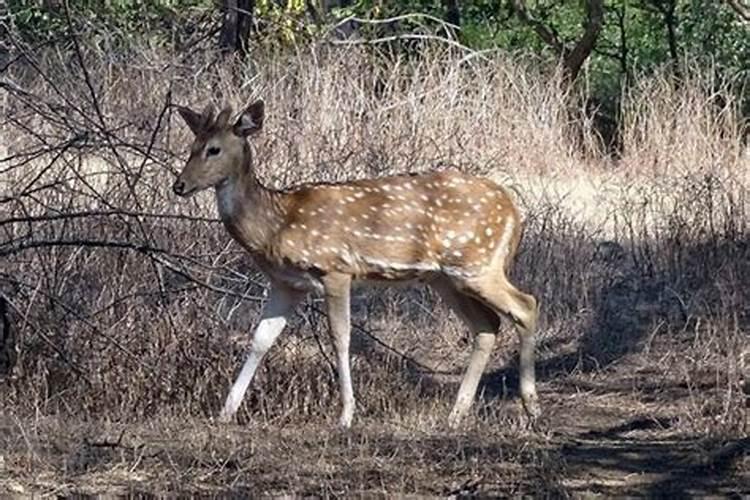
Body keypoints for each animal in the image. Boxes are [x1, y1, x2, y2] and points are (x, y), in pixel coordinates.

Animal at [172, 100, 540, 426]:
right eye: (192, 145)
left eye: (214, 149)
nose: (179, 185)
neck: (276, 224)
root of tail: (514, 211)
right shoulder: (287, 282)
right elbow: (261, 338)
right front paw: (225, 411)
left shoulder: (335, 268)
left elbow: (341, 337)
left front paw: (346, 415)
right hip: (444, 277)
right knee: (487, 324)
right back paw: (456, 413)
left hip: (477, 263)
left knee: (525, 305)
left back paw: (531, 404)